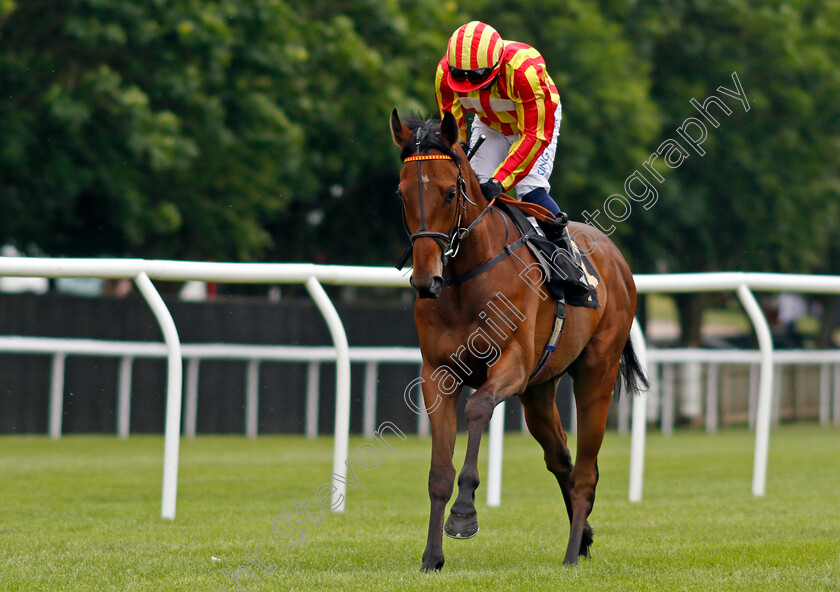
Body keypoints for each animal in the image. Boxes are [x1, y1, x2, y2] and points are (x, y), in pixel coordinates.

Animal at [390, 108, 648, 572]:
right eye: (402, 195)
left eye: (449, 193)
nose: (425, 279)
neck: (466, 279)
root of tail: (615, 257)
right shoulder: (438, 374)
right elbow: (439, 473)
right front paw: (431, 557)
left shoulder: (511, 363)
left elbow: (477, 408)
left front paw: (464, 514)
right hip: (539, 392)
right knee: (561, 460)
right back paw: (583, 535)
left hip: (595, 373)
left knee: (586, 471)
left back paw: (571, 555)